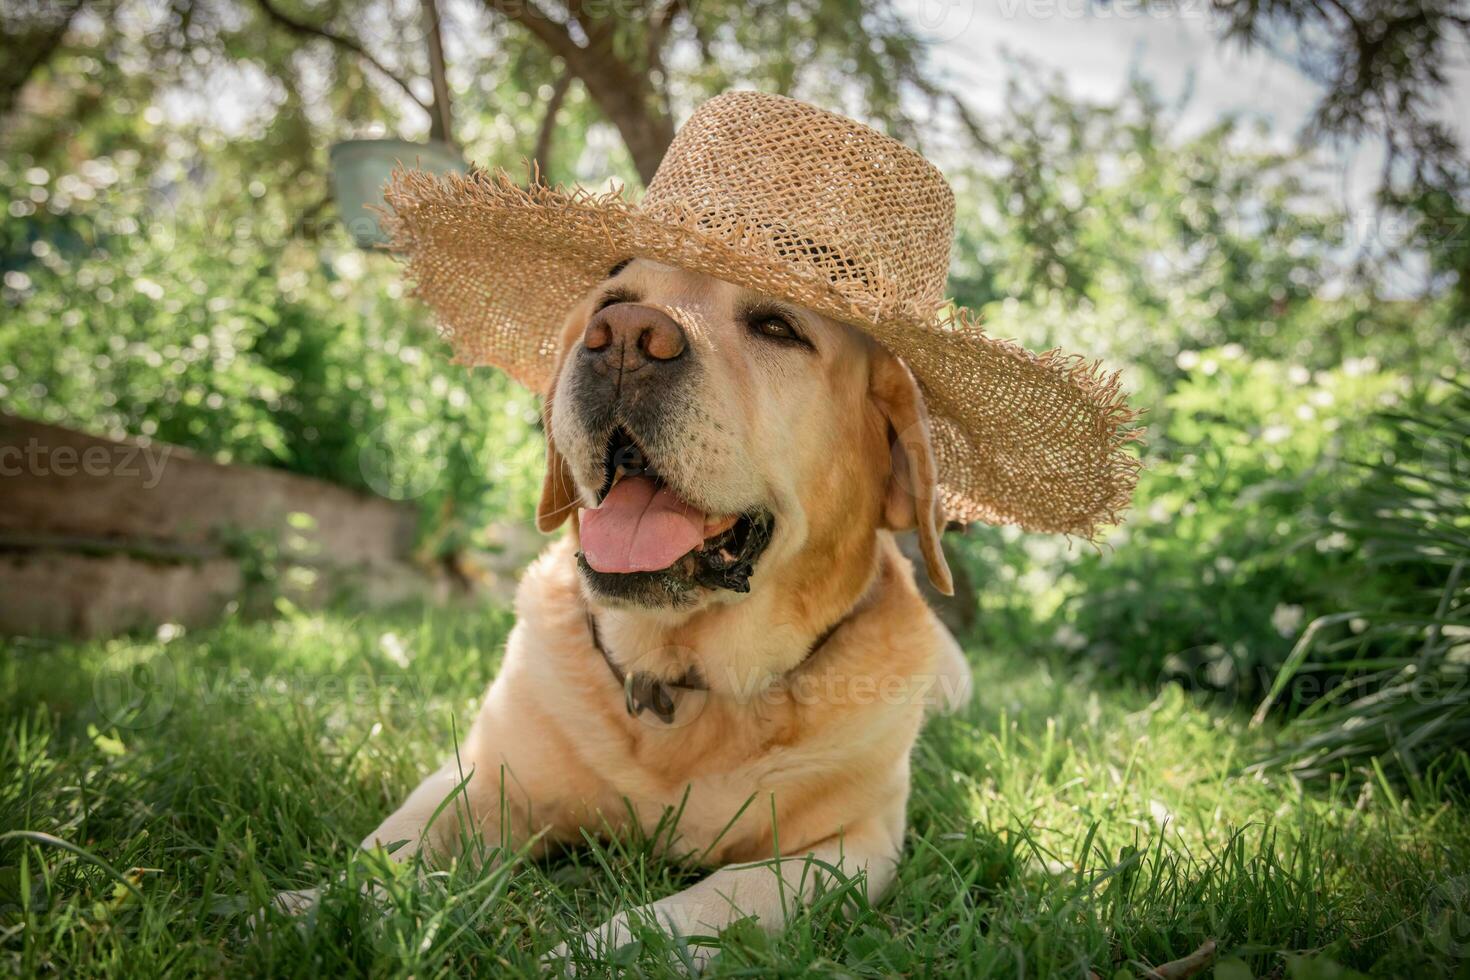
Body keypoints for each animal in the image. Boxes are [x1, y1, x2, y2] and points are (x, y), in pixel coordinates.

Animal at [338, 257, 970, 963]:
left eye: (778, 327)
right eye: (611, 302)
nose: (622, 338)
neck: (680, 682)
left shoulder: (850, 848)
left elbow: (703, 904)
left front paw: (588, 957)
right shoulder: (480, 779)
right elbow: (387, 851)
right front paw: (306, 911)